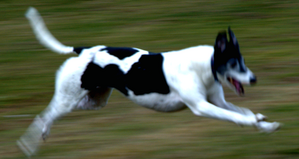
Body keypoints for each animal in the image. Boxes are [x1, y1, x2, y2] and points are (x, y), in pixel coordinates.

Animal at [18, 7, 282, 157]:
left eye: (244, 62)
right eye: (235, 64)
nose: (254, 79)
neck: (203, 66)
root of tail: (83, 50)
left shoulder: (218, 101)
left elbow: (241, 111)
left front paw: (264, 124)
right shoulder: (203, 107)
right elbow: (235, 116)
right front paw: (254, 122)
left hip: (93, 100)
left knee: (50, 114)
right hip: (69, 99)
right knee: (45, 115)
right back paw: (29, 144)